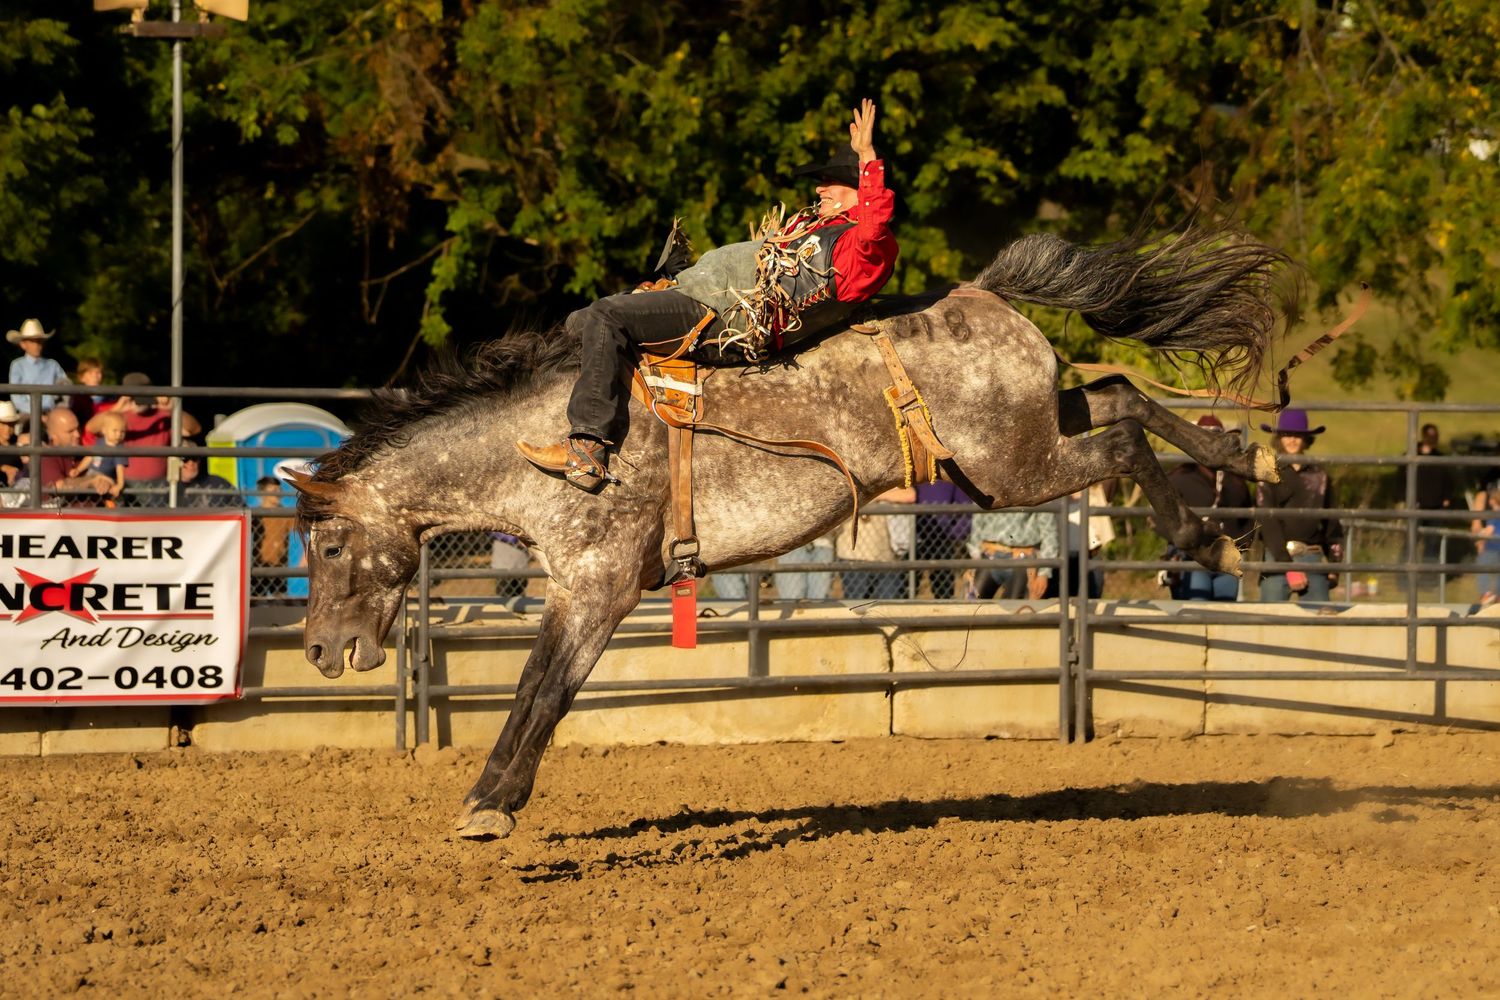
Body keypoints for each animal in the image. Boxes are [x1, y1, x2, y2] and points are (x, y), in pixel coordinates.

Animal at [293, 223, 1288, 840]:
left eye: (331, 547)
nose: (316, 652)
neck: (539, 445)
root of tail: (985, 295)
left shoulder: (597, 587)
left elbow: (541, 691)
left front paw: (489, 804)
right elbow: (539, 691)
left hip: (1018, 466)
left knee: (1119, 436)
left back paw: (1210, 537)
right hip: (1006, 452)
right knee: (1118, 396)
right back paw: (1241, 456)